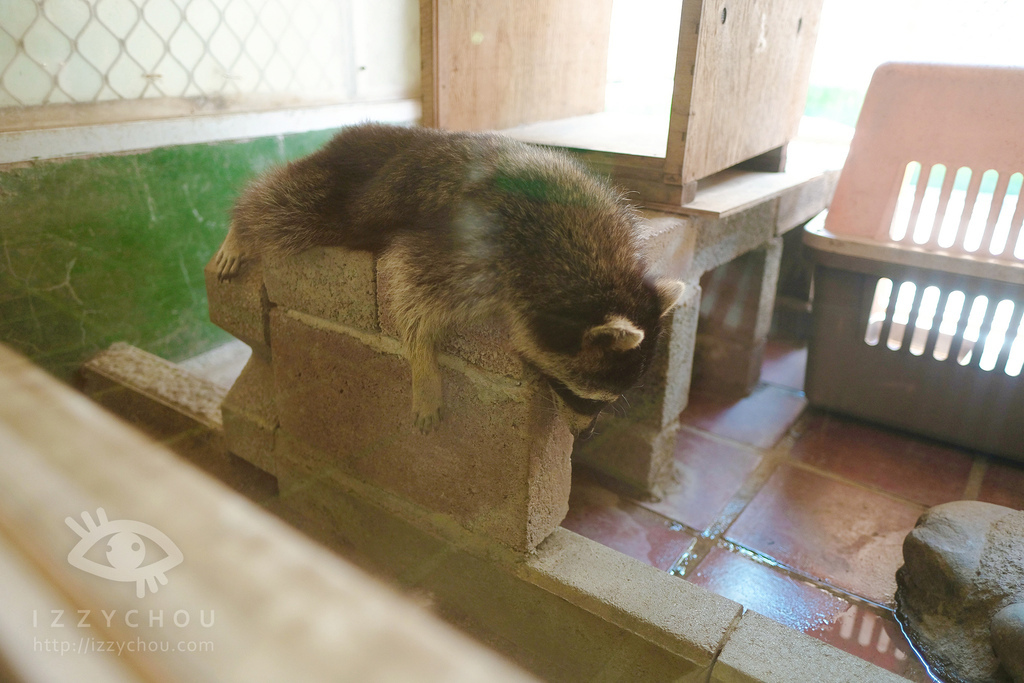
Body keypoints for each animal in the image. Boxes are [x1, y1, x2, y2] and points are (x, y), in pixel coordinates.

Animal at [215, 122, 679, 432]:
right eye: (578, 394)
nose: (584, 434)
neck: (596, 265)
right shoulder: (471, 246)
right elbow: (410, 290)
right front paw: (423, 367)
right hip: (338, 191)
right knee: (279, 205)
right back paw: (240, 229)